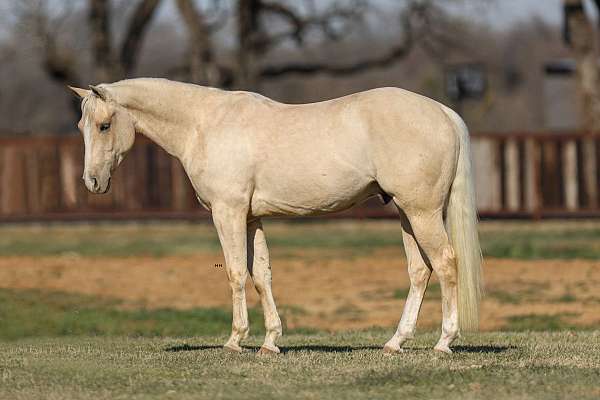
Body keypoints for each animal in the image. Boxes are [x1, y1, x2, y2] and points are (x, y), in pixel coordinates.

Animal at [69, 78, 482, 354]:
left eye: (104, 125)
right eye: (81, 126)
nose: (93, 182)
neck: (205, 124)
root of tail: (442, 112)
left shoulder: (229, 213)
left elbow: (236, 273)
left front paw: (235, 340)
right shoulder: (252, 219)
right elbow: (261, 275)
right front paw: (270, 342)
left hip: (422, 212)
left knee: (446, 263)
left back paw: (444, 342)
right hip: (407, 214)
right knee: (420, 271)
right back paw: (395, 342)